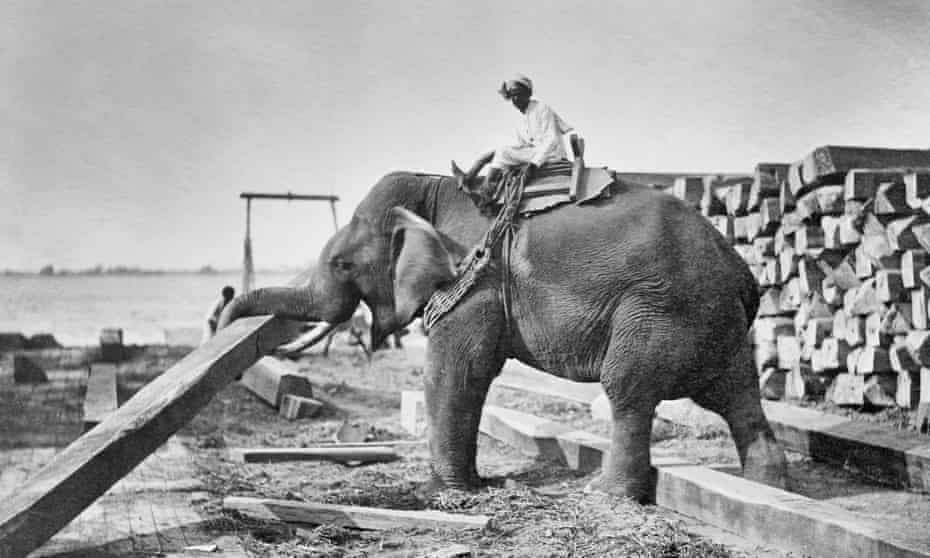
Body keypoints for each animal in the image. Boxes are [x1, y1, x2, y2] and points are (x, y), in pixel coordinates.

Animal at [217, 164, 789, 502]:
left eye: (342, 264)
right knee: (739, 398)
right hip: (717, 326)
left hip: (657, 312)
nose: (223, 309)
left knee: (629, 392)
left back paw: (606, 495)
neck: (432, 190)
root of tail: (740, 271)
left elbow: (456, 370)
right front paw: (471, 487)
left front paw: (449, 494)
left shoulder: (476, 280)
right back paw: (766, 485)